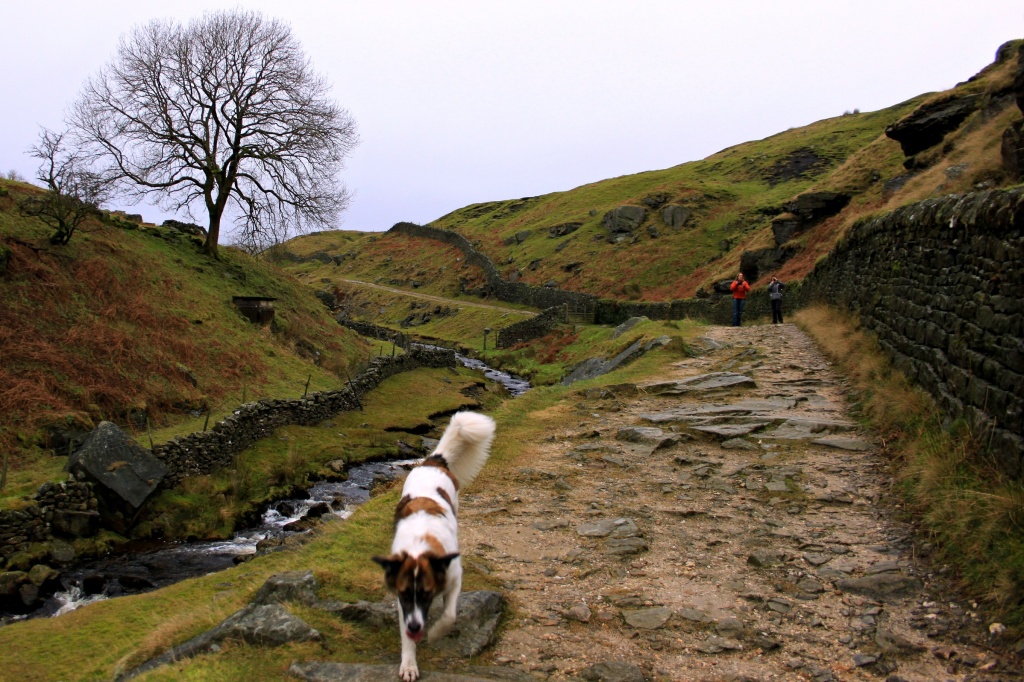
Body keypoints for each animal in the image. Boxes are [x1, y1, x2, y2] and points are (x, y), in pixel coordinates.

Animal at [372, 409, 495, 679]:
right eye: (405, 594)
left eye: (426, 593)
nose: (415, 626)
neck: (421, 546)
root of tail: (433, 461)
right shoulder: (403, 603)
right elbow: (406, 635)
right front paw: (409, 664)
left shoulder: (454, 576)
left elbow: (449, 615)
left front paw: (436, 633)